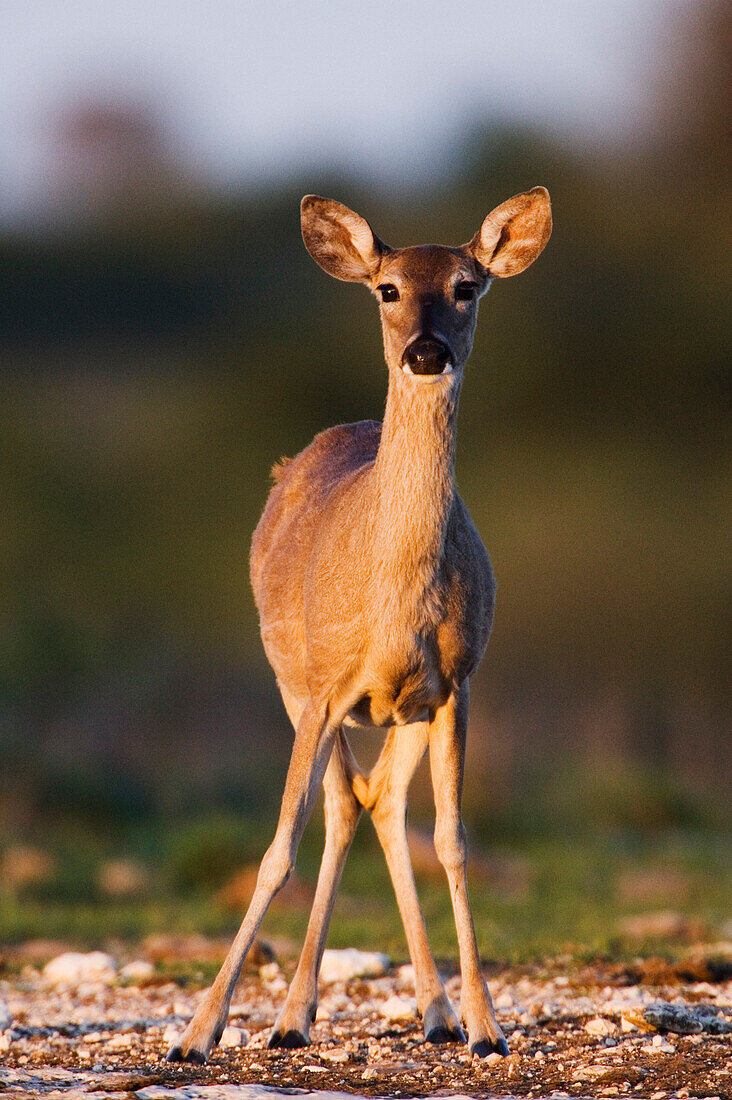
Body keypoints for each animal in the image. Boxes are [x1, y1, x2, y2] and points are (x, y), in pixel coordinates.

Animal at [167, 187, 548, 1064]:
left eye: (468, 286)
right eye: (388, 289)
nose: (425, 353)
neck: (394, 604)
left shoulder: (456, 683)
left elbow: (452, 840)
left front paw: (487, 1028)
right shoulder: (322, 688)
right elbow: (279, 846)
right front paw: (197, 1035)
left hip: (401, 712)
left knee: (382, 804)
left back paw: (430, 1013)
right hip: (291, 679)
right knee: (345, 806)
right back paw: (291, 1017)